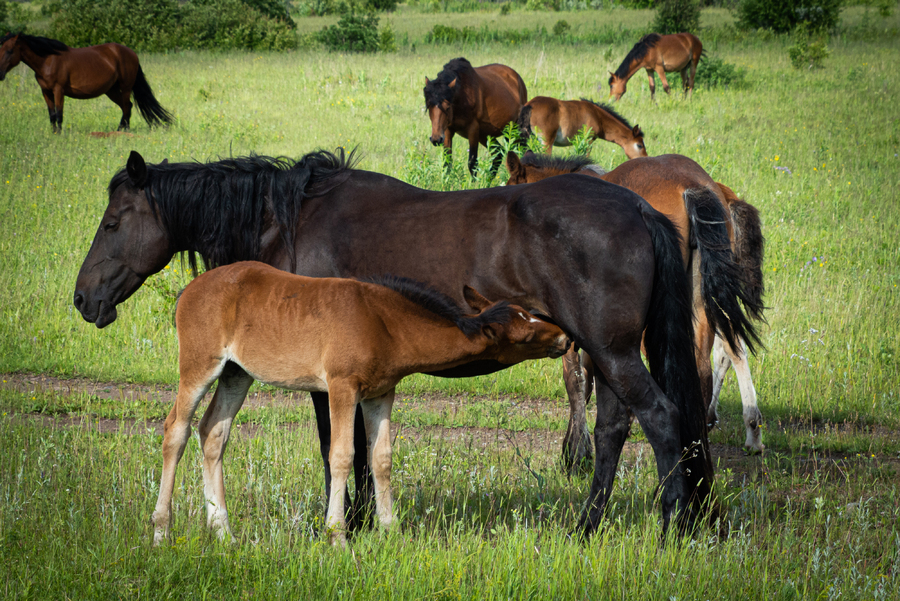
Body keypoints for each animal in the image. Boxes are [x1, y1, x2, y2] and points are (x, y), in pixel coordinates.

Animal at [0, 32, 172, 133]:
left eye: (9, 51)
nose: (0, 74)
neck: (47, 60)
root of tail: (132, 53)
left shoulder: (58, 90)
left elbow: (59, 114)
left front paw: (59, 135)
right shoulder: (46, 92)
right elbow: (51, 115)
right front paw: (53, 134)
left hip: (125, 87)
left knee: (126, 108)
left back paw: (125, 131)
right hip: (111, 90)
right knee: (127, 106)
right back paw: (119, 130)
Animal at [72, 148, 732, 536]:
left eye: (112, 222)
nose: (83, 300)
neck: (289, 221)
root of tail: (640, 207)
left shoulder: (330, 382)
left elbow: (342, 451)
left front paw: (350, 523)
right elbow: (364, 449)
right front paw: (366, 521)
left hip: (611, 352)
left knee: (663, 420)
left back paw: (674, 528)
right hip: (608, 354)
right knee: (613, 430)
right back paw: (588, 527)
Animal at [512, 96, 648, 158]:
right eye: (639, 145)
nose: (645, 159)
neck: (597, 115)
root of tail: (530, 105)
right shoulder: (588, 141)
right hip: (546, 142)